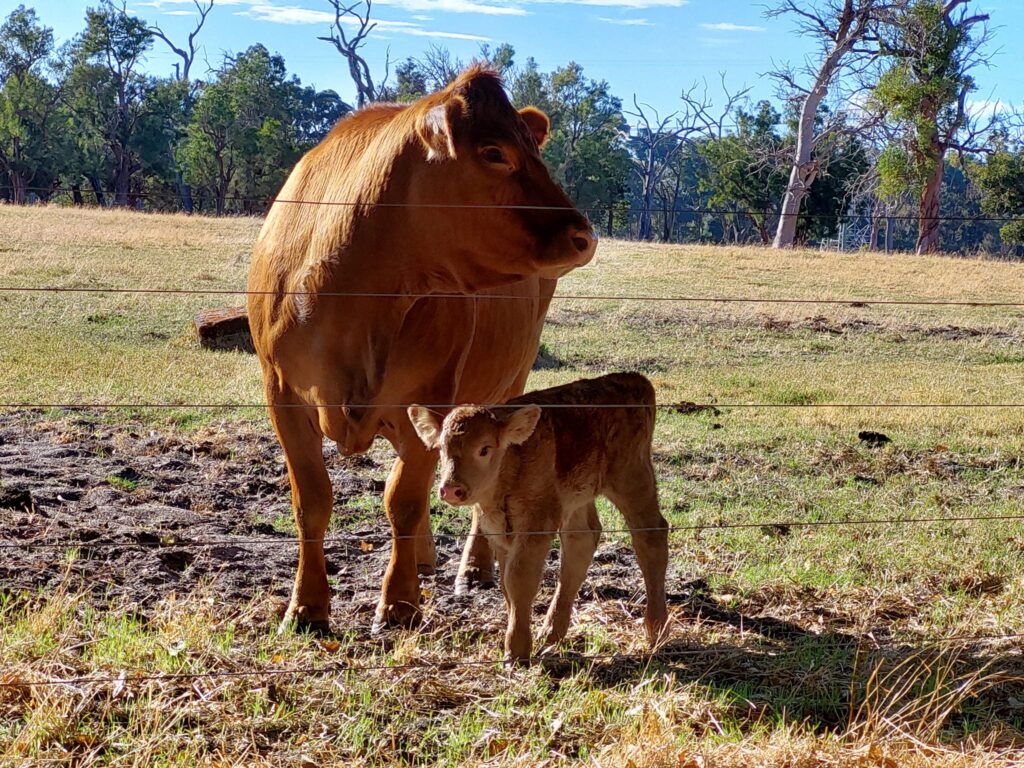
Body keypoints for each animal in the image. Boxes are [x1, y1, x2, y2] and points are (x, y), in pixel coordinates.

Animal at [247, 66, 597, 632]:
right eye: (494, 151)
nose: (584, 235)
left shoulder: (432, 395)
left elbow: (404, 502)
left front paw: (400, 603)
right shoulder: (283, 396)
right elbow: (312, 502)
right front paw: (306, 608)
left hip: (509, 379)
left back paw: (470, 567)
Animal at [407, 373, 669, 662]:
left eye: (484, 449)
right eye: (442, 449)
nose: (451, 488)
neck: (511, 463)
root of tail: (634, 380)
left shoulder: (536, 525)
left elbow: (520, 578)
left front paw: (517, 650)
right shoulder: (498, 531)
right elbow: (506, 584)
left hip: (632, 478)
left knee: (651, 536)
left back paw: (657, 630)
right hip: (577, 498)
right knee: (581, 540)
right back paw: (551, 634)